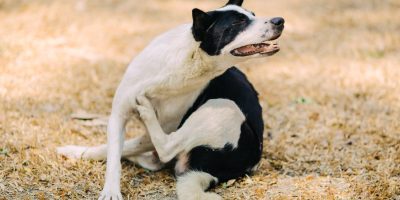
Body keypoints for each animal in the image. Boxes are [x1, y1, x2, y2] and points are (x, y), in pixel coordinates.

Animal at [58, 0, 284, 199]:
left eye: (252, 15)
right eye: (239, 22)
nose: (280, 20)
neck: (188, 61)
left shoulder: (165, 126)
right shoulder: (118, 115)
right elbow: (114, 156)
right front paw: (109, 189)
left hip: (224, 106)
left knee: (166, 148)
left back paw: (146, 110)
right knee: (151, 157)